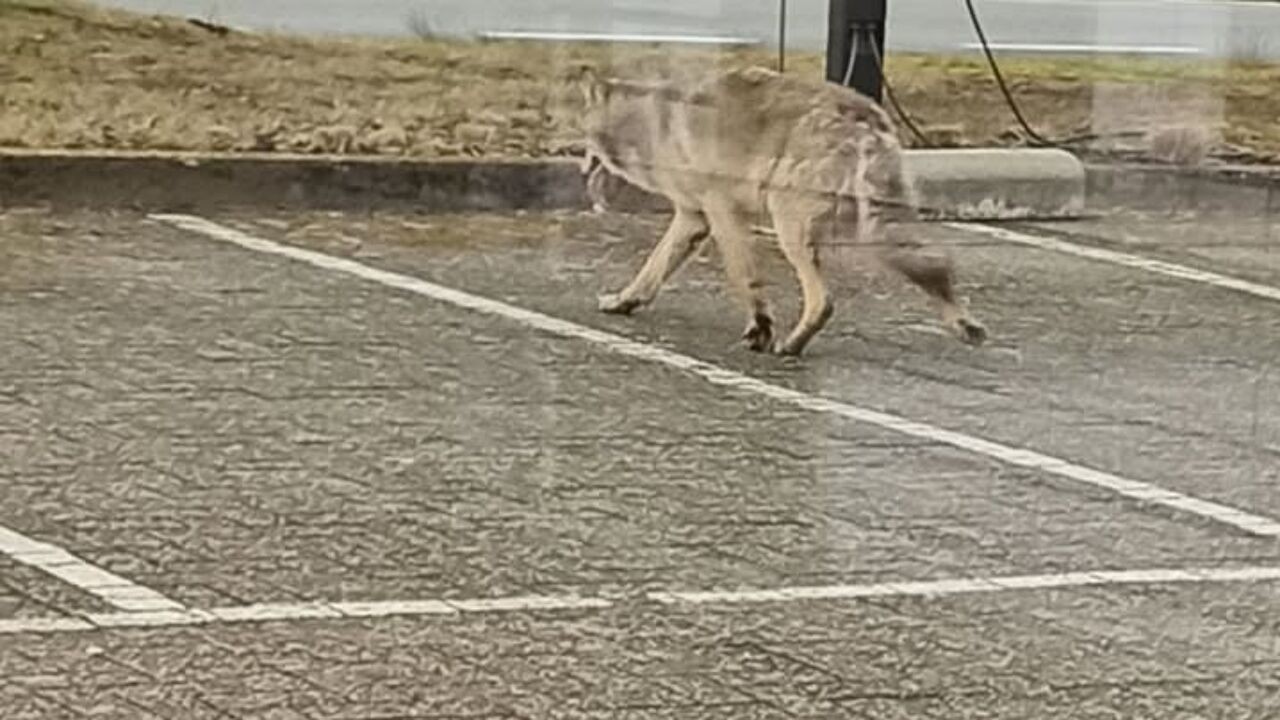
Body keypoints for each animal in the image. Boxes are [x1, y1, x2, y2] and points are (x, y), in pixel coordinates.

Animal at [575, 65, 987, 356]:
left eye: (581, 134)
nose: (578, 164)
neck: (644, 123)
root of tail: (865, 116)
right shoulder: (693, 218)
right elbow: (651, 270)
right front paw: (623, 302)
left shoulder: (720, 214)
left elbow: (746, 279)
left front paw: (760, 331)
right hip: (872, 232)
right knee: (936, 268)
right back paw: (965, 326)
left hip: (790, 227)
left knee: (824, 301)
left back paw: (789, 346)